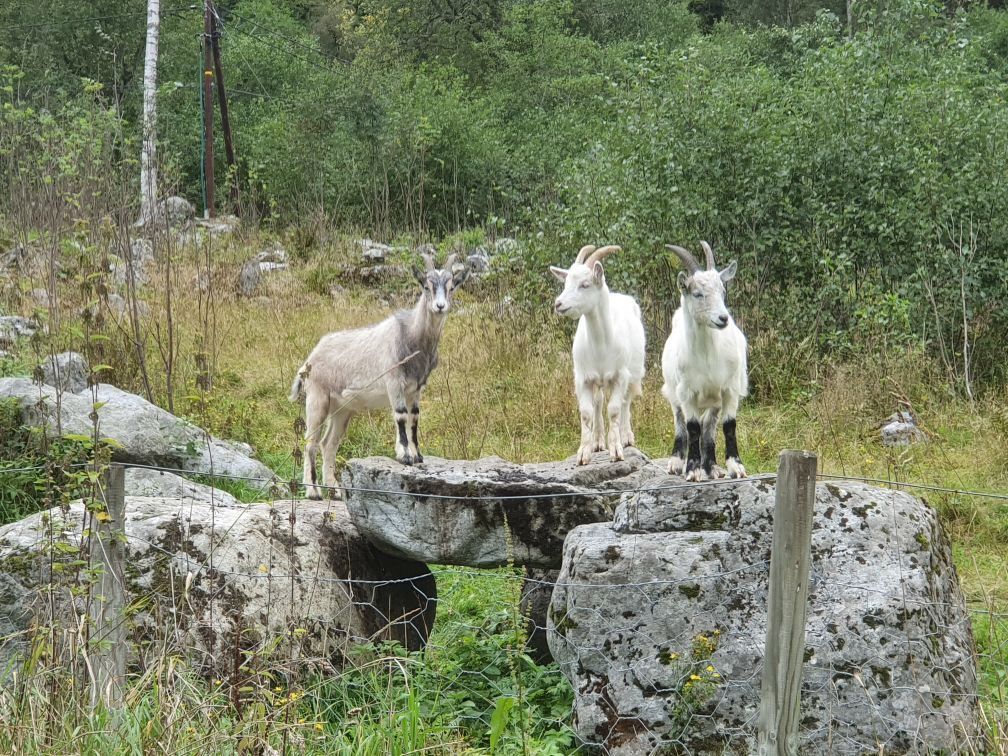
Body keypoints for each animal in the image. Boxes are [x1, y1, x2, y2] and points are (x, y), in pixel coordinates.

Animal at [289, 253, 469, 499]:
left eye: (451, 287)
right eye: (426, 286)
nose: (440, 306)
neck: (412, 337)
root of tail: (310, 359)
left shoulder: (416, 389)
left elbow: (414, 418)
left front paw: (418, 455)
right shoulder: (394, 382)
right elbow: (401, 416)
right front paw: (405, 455)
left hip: (341, 409)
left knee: (329, 444)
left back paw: (334, 490)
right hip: (317, 397)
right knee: (311, 442)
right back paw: (313, 491)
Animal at [550, 245, 646, 465]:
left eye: (585, 284)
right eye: (565, 283)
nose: (559, 304)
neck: (602, 345)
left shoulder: (620, 376)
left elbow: (615, 410)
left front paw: (616, 450)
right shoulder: (583, 378)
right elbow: (586, 413)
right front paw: (583, 453)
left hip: (633, 373)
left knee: (626, 402)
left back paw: (626, 437)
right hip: (598, 381)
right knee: (598, 402)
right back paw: (598, 441)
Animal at [661, 241, 748, 481]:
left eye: (723, 291)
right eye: (698, 293)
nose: (723, 318)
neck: (708, 356)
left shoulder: (730, 388)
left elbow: (729, 425)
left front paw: (736, 467)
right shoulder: (687, 392)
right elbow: (692, 428)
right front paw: (692, 469)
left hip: (713, 400)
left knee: (709, 426)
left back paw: (712, 466)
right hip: (673, 391)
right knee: (681, 422)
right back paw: (676, 462)